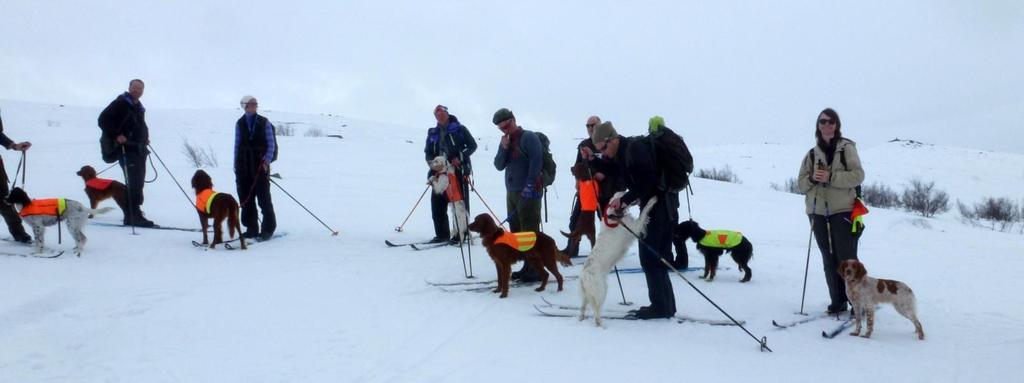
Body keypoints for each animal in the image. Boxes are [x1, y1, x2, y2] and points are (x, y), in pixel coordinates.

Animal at [577, 191, 655, 325]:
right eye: (623, 193)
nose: (628, 191)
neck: (613, 215)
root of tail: (583, 276)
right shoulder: (634, 227)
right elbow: (644, 212)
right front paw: (652, 201)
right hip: (601, 291)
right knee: (596, 314)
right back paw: (602, 325)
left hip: (586, 295)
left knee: (582, 308)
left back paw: (582, 319)